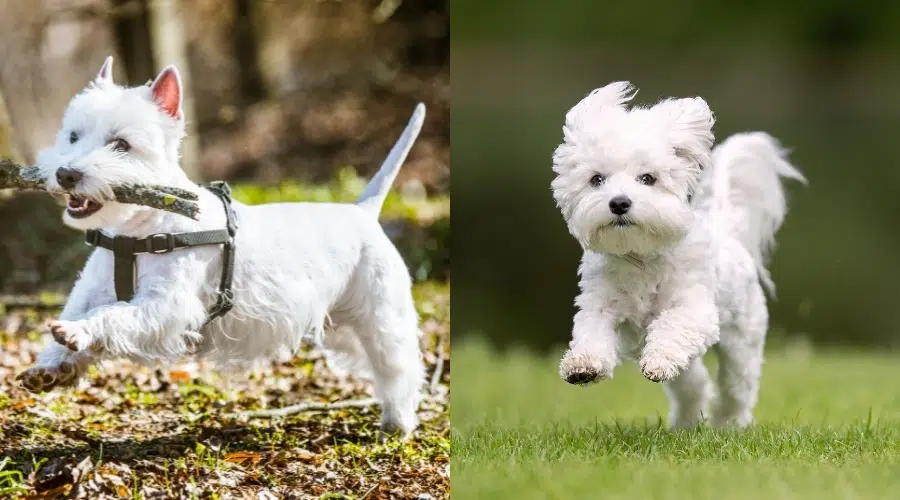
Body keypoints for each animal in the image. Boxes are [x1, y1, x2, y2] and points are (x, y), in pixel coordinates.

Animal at [16, 57, 426, 438]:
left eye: (121, 144)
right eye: (73, 136)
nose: (66, 174)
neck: (136, 232)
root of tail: (364, 212)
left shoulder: (168, 307)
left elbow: (113, 315)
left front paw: (77, 334)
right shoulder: (91, 290)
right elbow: (79, 313)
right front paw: (51, 367)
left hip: (380, 314)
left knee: (399, 365)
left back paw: (398, 423)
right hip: (340, 324)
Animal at [552, 83, 804, 430]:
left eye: (648, 178)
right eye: (596, 179)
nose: (619, 202)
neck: (641, 255)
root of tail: (727, 232)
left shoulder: (694, 309)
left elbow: (673, 326)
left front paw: (658, 360)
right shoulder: (599, 305)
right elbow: (591, 332)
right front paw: (583, 365)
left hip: (742, 340)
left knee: (736, 387)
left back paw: (728, 424)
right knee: (695, 384)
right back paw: (686, 423)